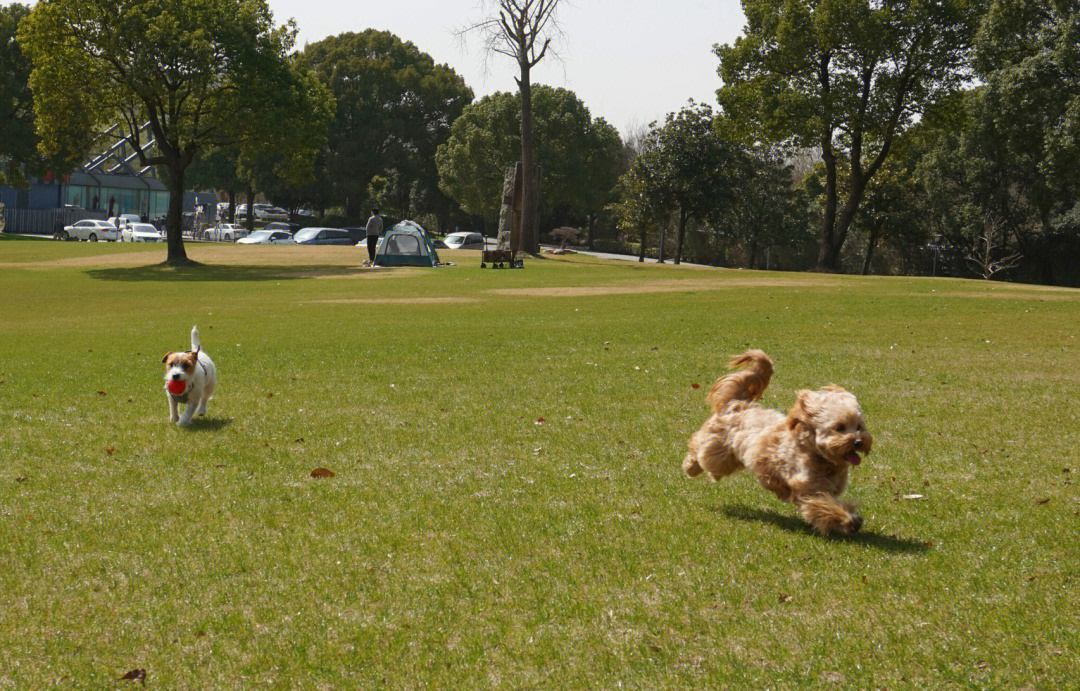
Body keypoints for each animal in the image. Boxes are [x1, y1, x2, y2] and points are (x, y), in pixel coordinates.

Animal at [686, 349, 872, 535]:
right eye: (839, 427)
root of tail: (738, 404)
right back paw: (690, 467)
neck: (814, 452)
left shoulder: (827, 490)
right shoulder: (809, 489)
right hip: (718, 452)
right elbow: (825, 507)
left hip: (730, 457)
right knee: (699, 448)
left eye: (859, 426)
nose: (858, 441)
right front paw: (848, 520)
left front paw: (850, 520)